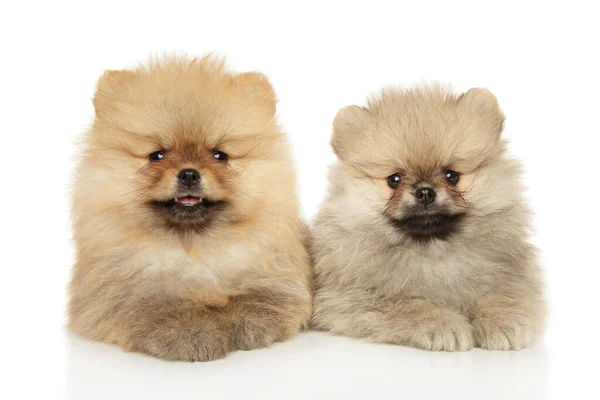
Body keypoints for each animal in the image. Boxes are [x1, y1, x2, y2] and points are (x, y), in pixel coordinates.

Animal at [69, 55, 314, 362]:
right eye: (157, 155)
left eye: (219, 155)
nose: (188, 174)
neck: (194, 247)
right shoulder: (120, 289)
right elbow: (158, 305)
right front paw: (191, 330)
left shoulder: (271, 268)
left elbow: (257, 295)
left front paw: (248, 320)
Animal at [312, 85, 548, 350]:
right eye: (394, 179)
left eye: (452, 176)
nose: (425, 191)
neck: (432, 250)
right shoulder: (352, 296)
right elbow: (411, 305)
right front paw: (443, 325)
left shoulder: (512, 277)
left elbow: (502, 295)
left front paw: (502, 322)